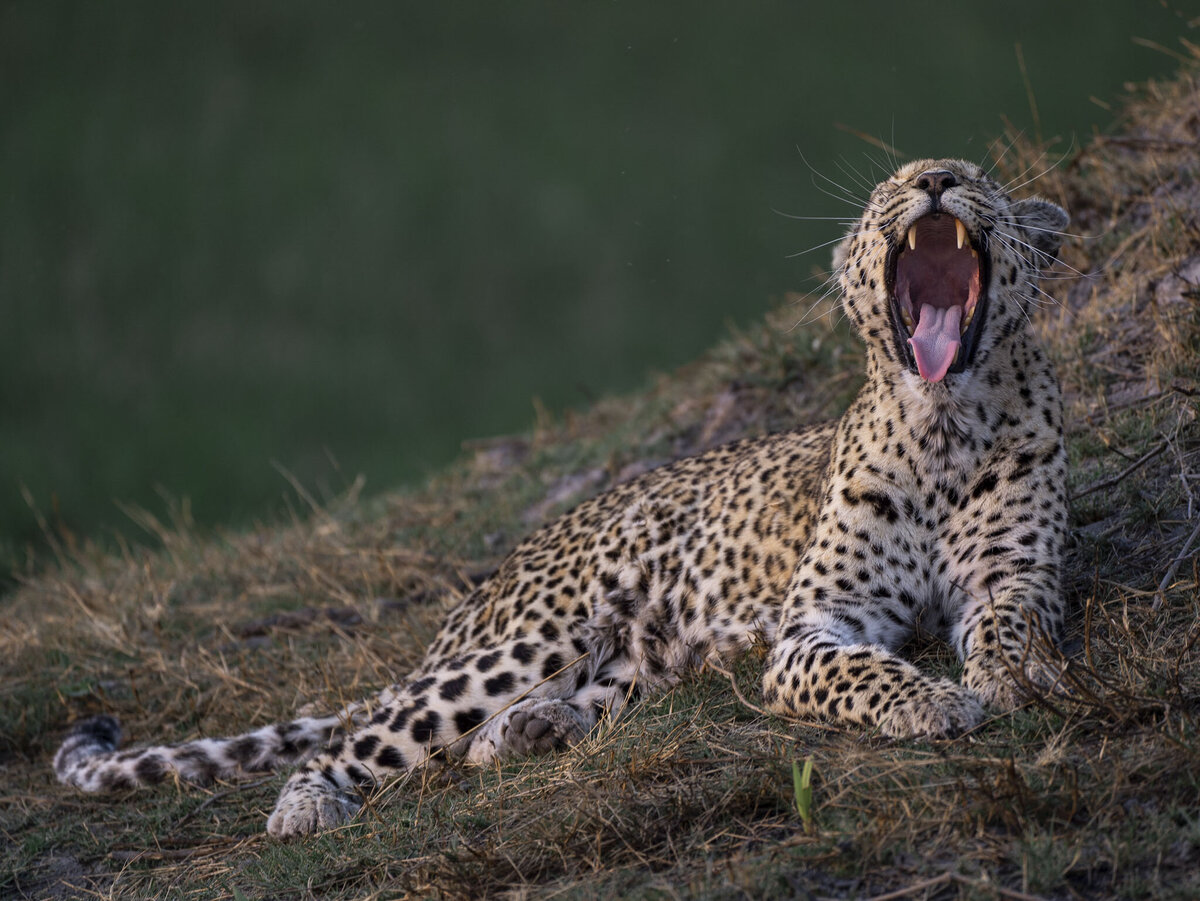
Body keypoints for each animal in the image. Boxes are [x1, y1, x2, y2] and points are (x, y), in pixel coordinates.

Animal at [54, 154, 1070, 839]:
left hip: (630, 659)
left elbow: (1015, 625)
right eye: (889, 189)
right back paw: (308, 807)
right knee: (363, 738)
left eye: (976, 175)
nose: (934, 178)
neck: (942, 426)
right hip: (528, 641)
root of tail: (489, 582)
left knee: (505, 730)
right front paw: (934, 702)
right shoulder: (815, 625)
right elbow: (857, 670)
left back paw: (535, 732)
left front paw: (1017, 677)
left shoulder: (1015, 578)